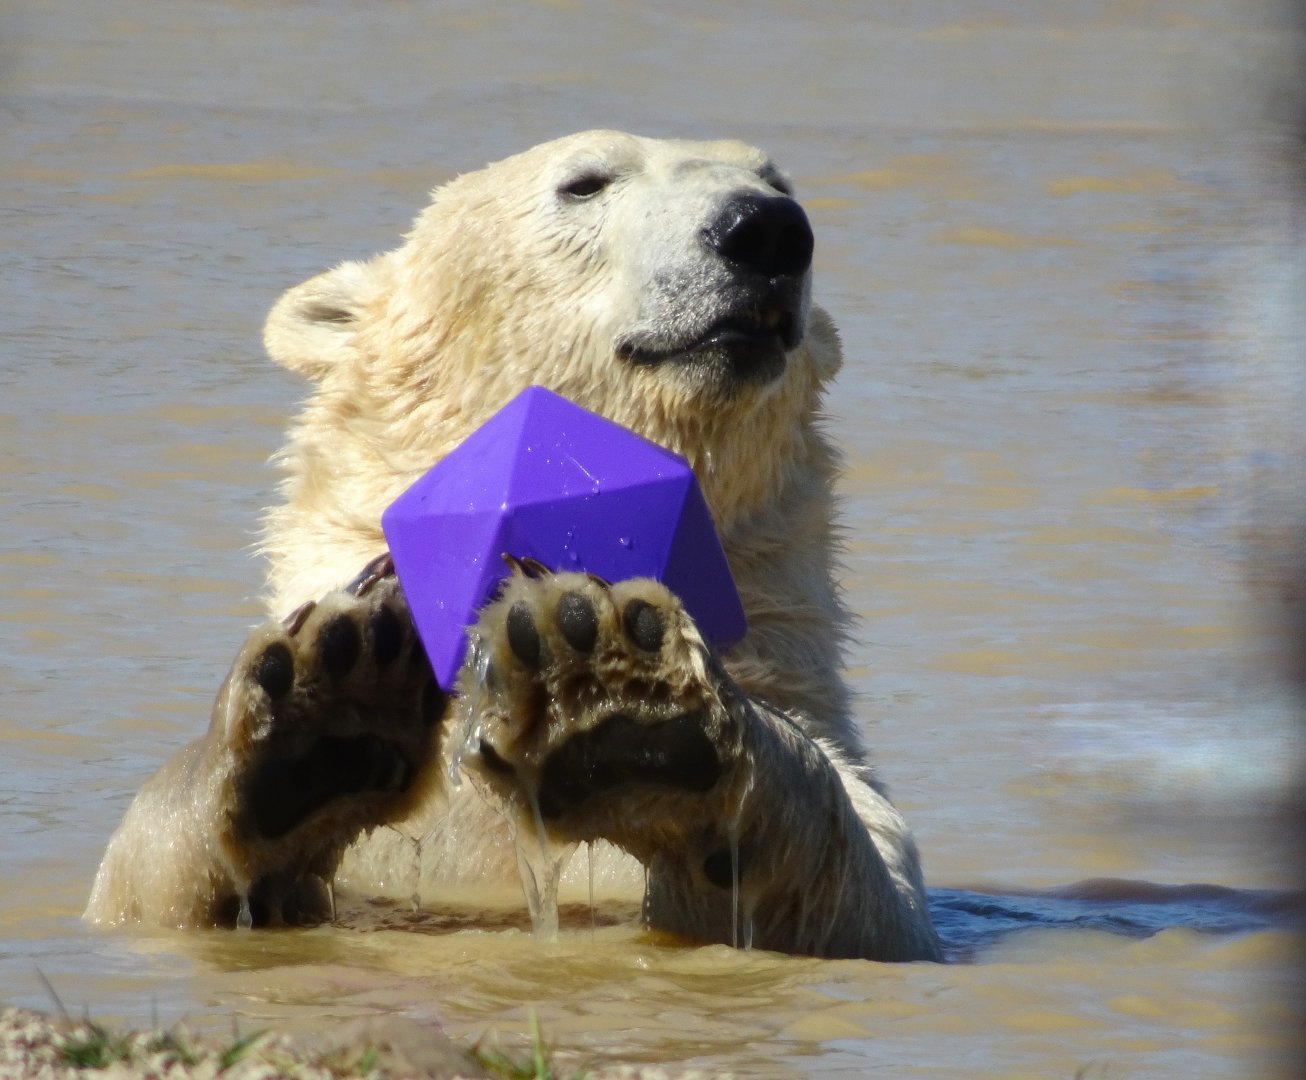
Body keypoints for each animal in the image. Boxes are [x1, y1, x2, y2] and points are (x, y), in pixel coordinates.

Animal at [85, 130, 943, 962]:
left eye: (777, 181)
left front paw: (616, 694)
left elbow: (861, 890)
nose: (765, 230)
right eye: (585, 182)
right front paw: (326, 694)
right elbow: (147, 879)